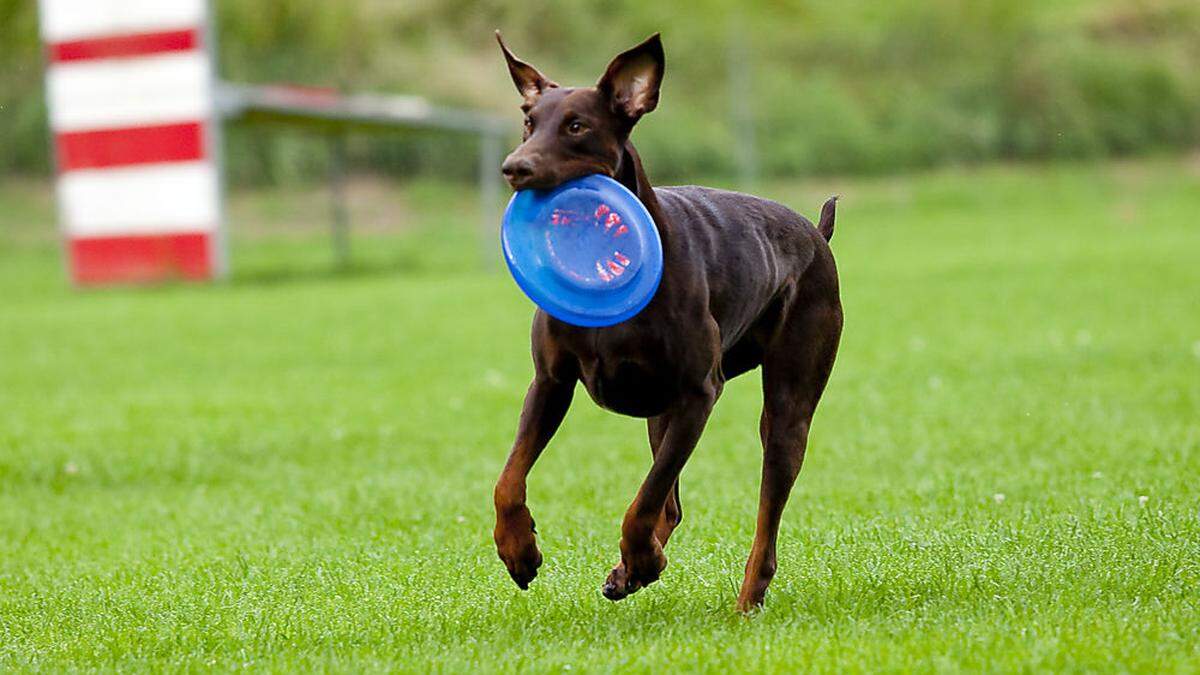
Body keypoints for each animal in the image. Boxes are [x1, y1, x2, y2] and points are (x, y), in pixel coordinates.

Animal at [489, 31, 844, 610]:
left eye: (576, 126)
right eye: (527, 120)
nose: (513, 166)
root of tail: (817, 234)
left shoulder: (699, 393)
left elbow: (644, 500)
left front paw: (642, 560)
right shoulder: (550, 382)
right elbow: (508, 479)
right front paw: (519, 551)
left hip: (787, 403)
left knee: (764, 515)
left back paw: (739, 598)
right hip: (660, 410)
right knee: (672, 504)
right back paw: (627, 571)